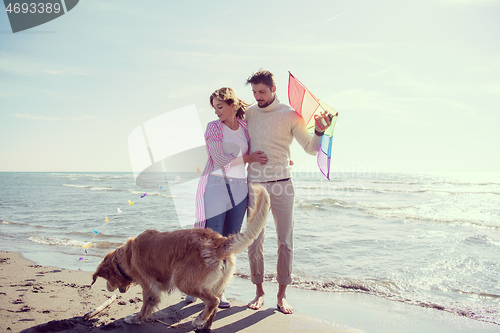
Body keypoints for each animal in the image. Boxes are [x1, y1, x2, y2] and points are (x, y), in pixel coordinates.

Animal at [91, 183, 270, 330]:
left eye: (108, 279)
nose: (108, 288)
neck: (127, 256)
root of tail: (218, 241)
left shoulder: (149, 287)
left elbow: (145, 306)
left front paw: (135, 319)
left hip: (182, 280)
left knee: (213, 301)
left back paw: (199, 320)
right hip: (215, 285)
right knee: (214, 306)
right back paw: (205, 325)